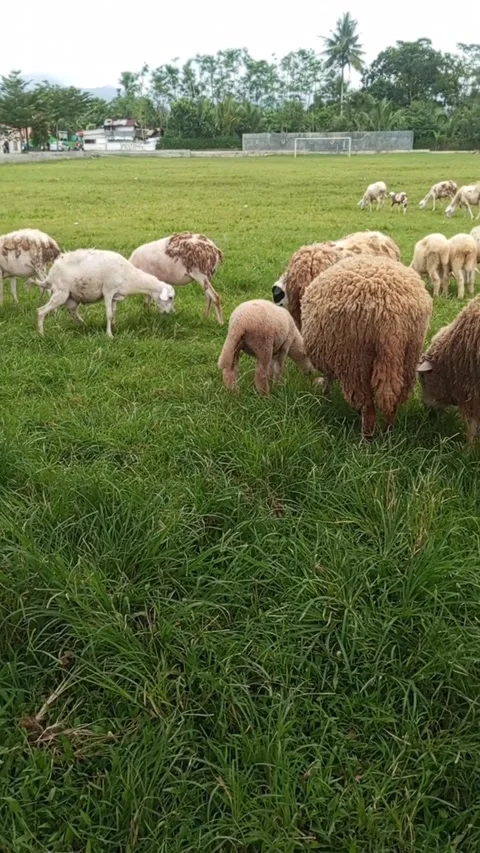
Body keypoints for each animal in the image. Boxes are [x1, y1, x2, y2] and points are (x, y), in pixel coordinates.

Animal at [35, 249, 175, 337]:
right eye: (170, 297)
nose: (170, 313)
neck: (129, 276)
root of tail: (52, 272)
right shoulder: (108, 291)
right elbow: (108, 314)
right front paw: (109, 335)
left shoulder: (115, 296)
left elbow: (114, 313)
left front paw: (114, 327)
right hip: (61, 292)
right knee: (41, 311)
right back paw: (41, 334)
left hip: (71, 297)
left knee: (73, 312)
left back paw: (84, 326)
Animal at [301, 255, 432, 439]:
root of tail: (392, 318)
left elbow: (328, 378)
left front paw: (326, 397)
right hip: (408, 356)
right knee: (393, 402)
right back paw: (388, 435)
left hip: (356, 363)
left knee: (368, 409)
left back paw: (366, 440)